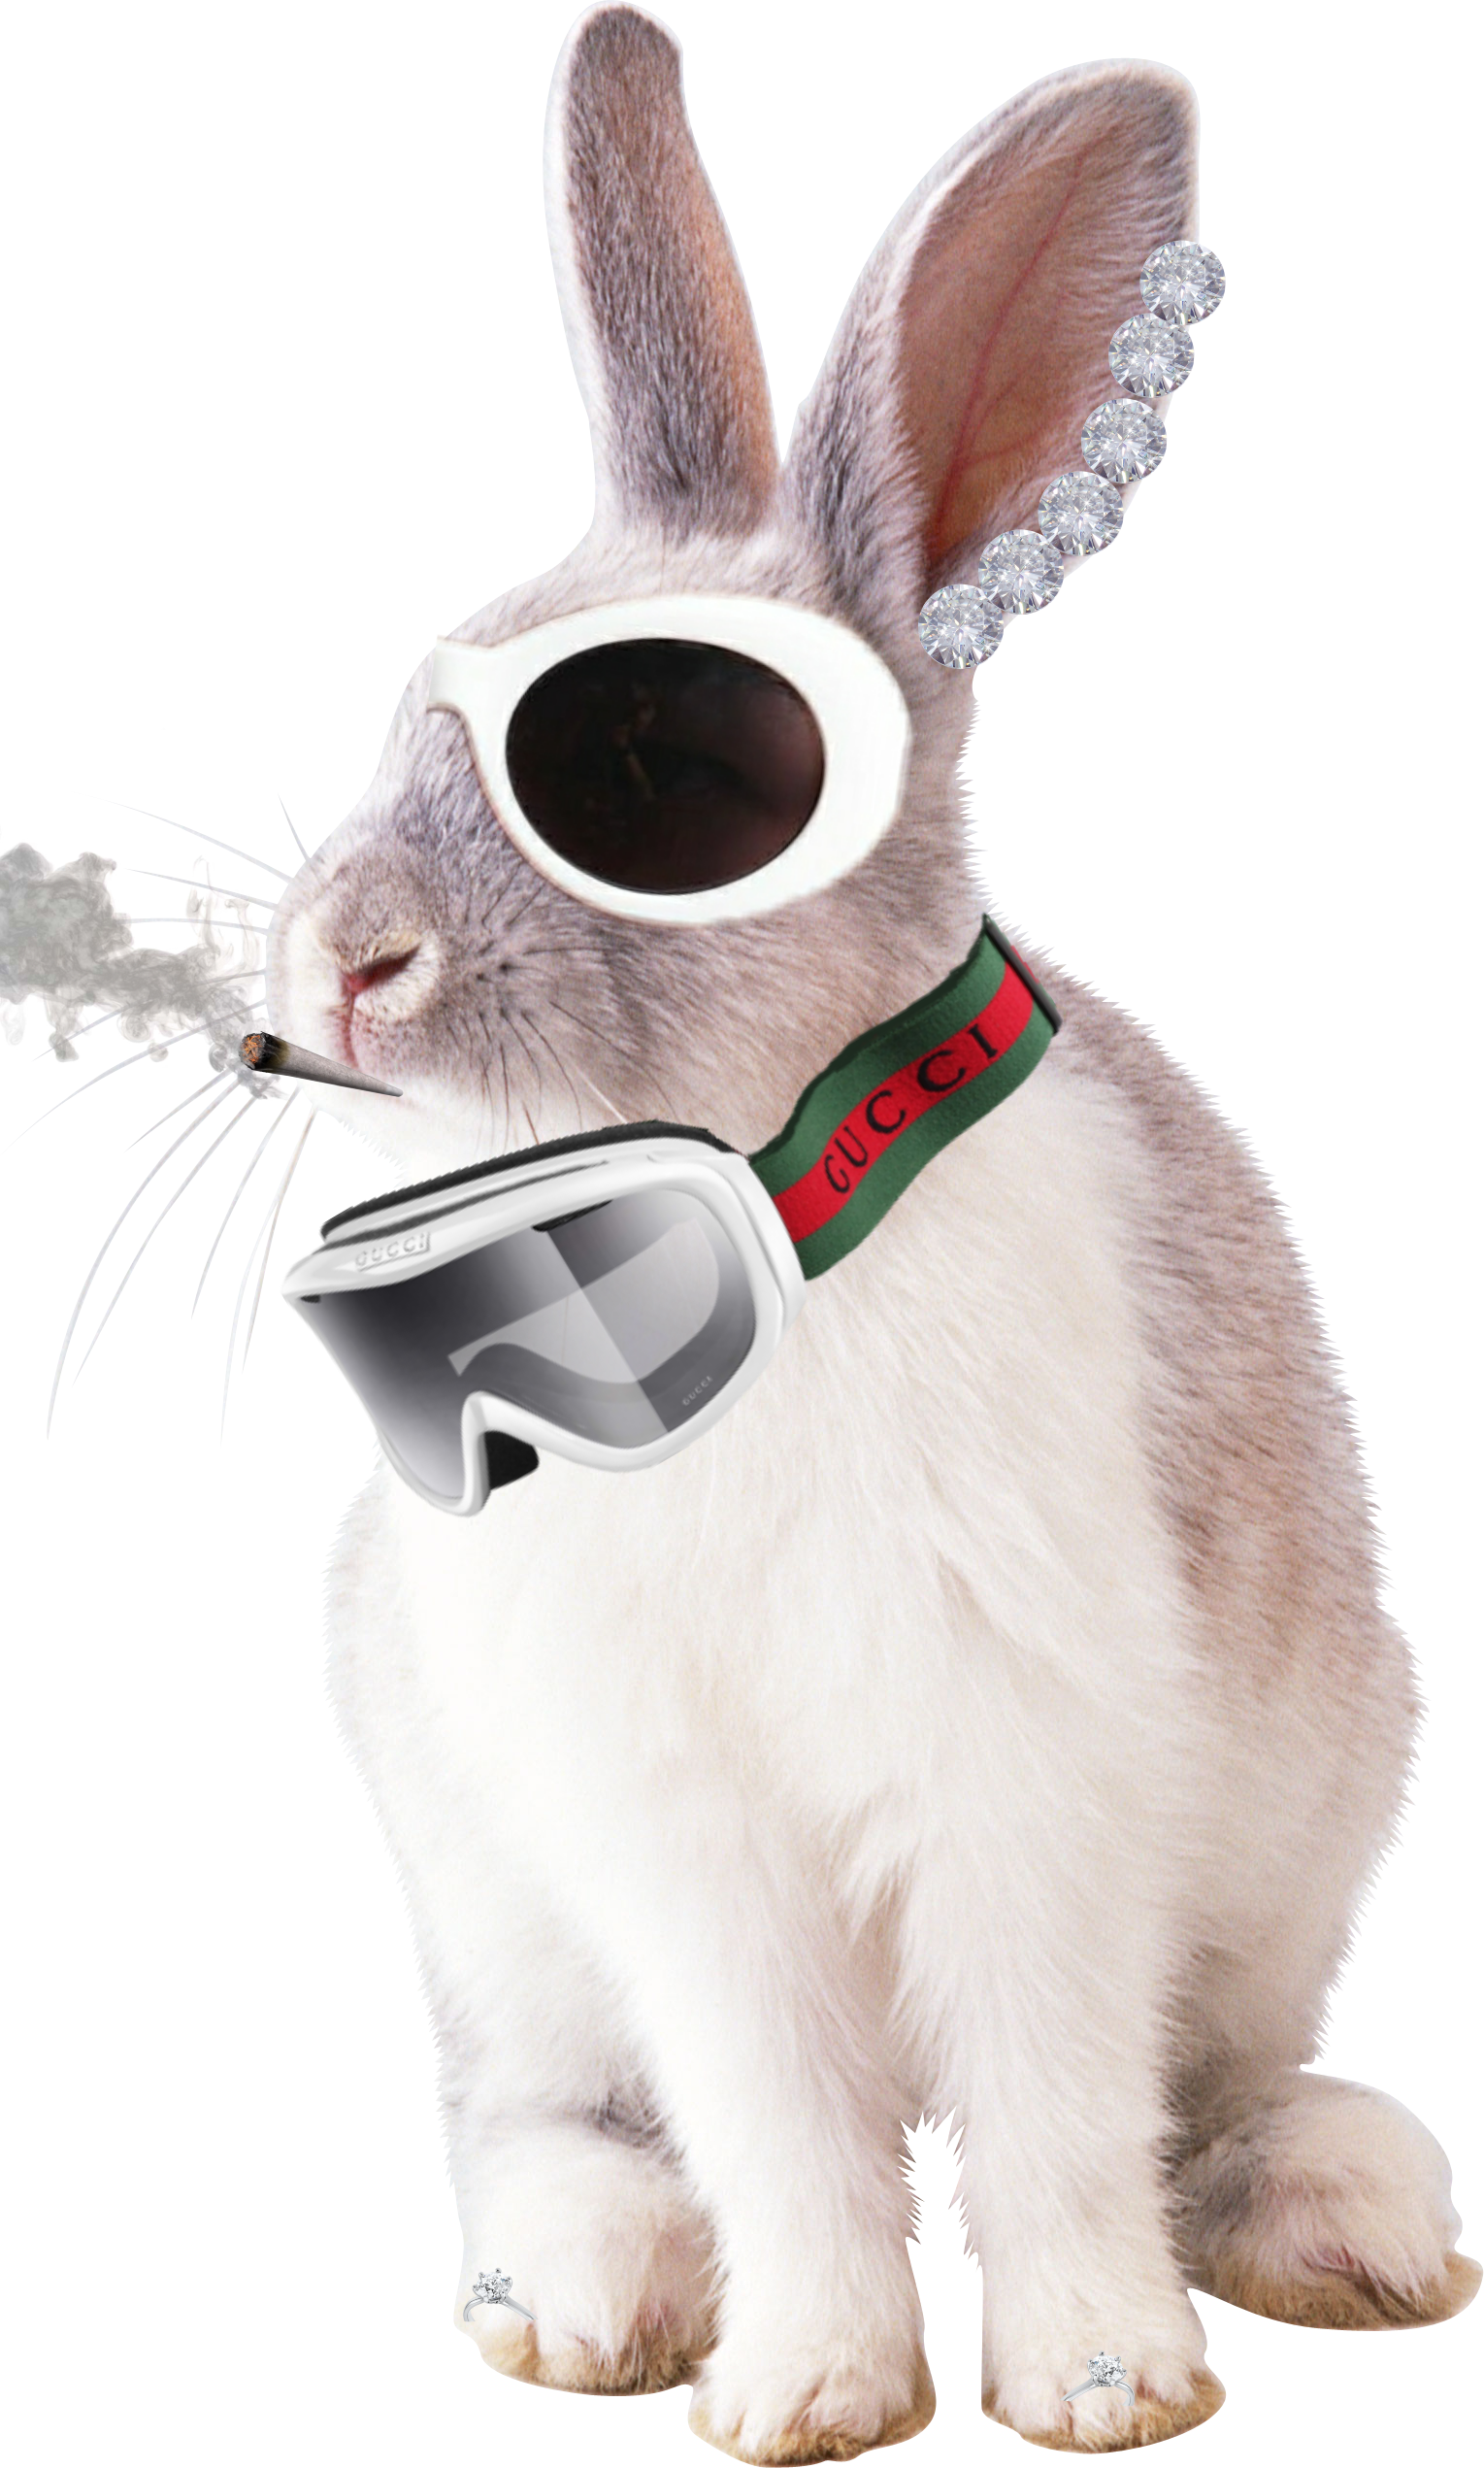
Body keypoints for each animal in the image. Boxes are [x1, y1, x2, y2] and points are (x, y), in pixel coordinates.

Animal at [262, 4, 1477, 2457]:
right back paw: (587, 2302)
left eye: (667, 761)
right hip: (490, 1902)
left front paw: (1101, 2386)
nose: (328, 965)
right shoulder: (681, 1834)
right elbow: (778, 2113)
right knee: (543, 2120)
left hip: (1306, 1826)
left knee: (1213, 2091)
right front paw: (808, 2395)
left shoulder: (1037, 1771)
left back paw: (1355, 2233)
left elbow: (1048, 2103)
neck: (733, 1231)